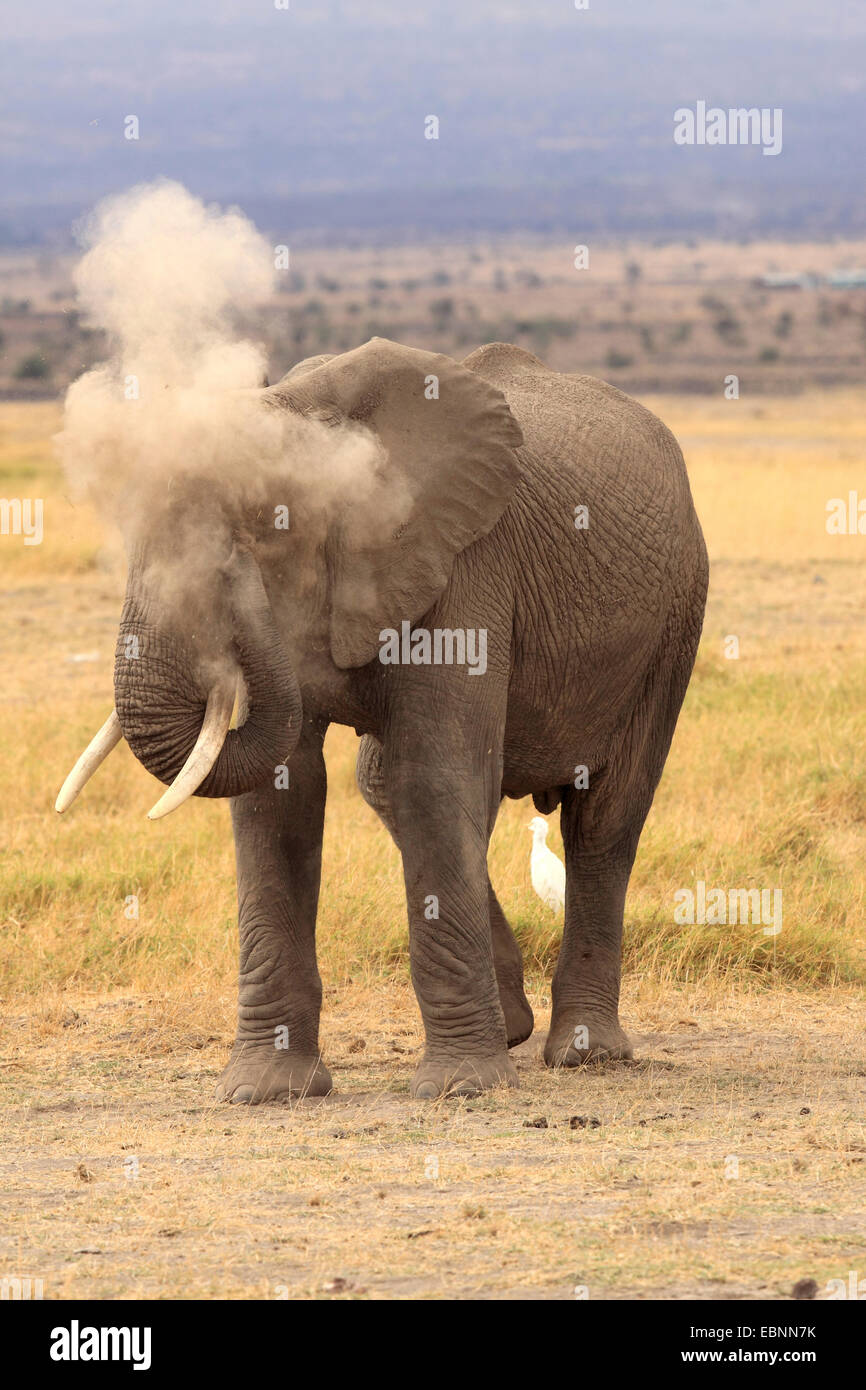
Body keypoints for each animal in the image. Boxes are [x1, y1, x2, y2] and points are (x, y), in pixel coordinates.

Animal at [54, 333, 708, 1095]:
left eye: (268, 525)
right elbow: (281, 794)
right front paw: (267, 1092)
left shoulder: (464, 563)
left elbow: (435, 778)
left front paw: (461, 1088)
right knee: (388, 787)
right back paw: (514, 1026)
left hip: (675, 620)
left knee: (605, 817)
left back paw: (584, 1052)